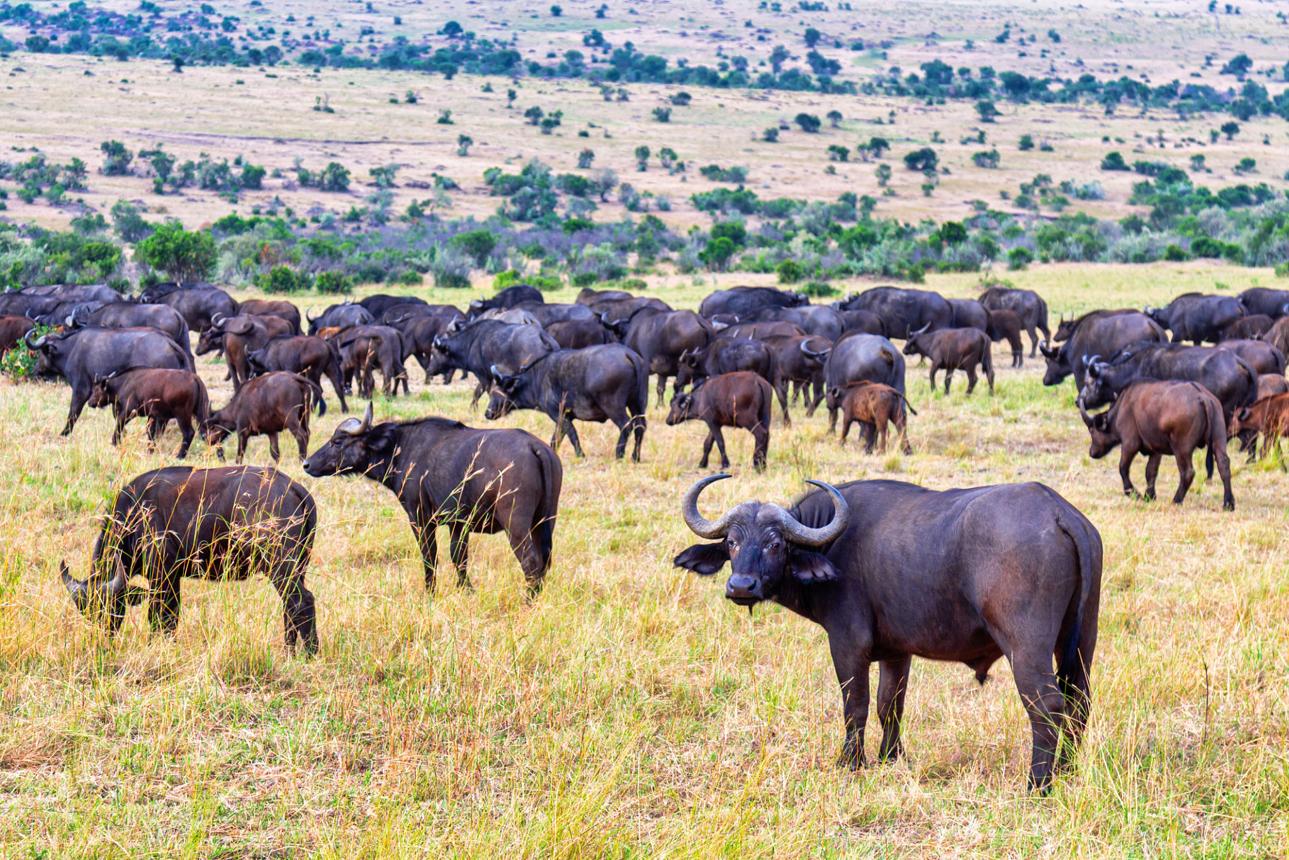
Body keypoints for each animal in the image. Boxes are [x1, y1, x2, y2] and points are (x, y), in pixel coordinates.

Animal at [304, 403, 562, 594]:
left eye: (337, 441)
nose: (306, 463)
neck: (401, 448)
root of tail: (535, 446)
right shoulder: (458, 524)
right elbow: (459, 557)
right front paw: (466, 590)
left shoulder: (420, 519)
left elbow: (430, 558)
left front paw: (430, 593)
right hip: (545, 522)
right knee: (544, 561)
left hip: (516, 524)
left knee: (531, 562)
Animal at [674, 474, 1101, 791]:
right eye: (732, 542)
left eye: (775, 544)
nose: (741, 586)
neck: (832, 544)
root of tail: (1056, 512)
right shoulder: (898, 651)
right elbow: (889, 704)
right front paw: (889, 757)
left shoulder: (847, 644)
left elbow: (856, 705)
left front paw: (851, 762)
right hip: (1080, 641)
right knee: (1078, 702)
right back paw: (1067, 770)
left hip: (1026, 648)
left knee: (1047, 705)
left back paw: (1039, 783)